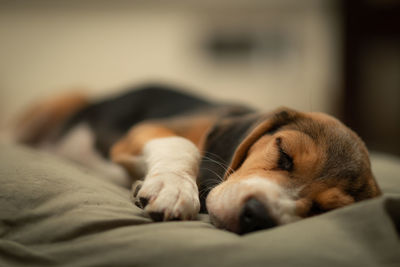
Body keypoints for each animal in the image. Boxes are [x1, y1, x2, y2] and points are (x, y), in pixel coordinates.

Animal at [9, 84, 382, 234]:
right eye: (283, 154)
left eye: (324, 210)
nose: (258, 215)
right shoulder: (147, 130)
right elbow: (182, 145)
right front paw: (174, 189)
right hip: (63, 100)